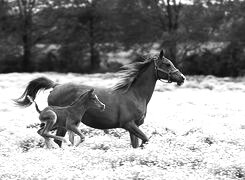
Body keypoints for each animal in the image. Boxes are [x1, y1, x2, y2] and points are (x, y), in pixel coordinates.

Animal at [14, 50, 185, 148]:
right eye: (167, 64)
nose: (182, 78)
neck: (135, 94)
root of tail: (56, 86)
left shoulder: (133, 127)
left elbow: (136, 144)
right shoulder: (129, 124)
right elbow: (145, 139)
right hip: (61, 123)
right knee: (57, 139)